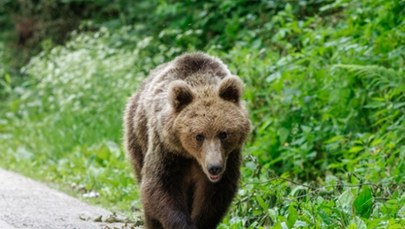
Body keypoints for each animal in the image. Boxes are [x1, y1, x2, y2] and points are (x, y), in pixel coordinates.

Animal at [123, 52, 249, 228]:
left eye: (223, 134)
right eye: (199, 135)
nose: (214, 168)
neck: (191, 156)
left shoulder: (229, 157)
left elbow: (215, 195)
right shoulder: (166, 149)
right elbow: (159, 185)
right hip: (137, 136)